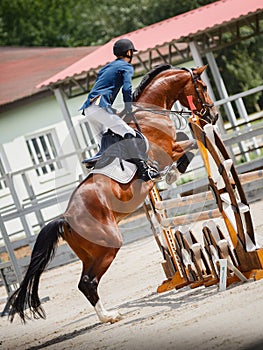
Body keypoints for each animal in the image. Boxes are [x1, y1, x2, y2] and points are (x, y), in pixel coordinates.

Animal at [7, 65, 220, 322]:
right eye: (204, 86)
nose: (213, 116)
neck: (150, 112)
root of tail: (65, 219)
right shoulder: (169, 149)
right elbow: (189, 145)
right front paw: (171, 174)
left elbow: (187, 141)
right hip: (108, 245)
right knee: (88, 281)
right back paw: (109, 316)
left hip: (91, 252)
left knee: (84, 282)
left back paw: (105, 315)